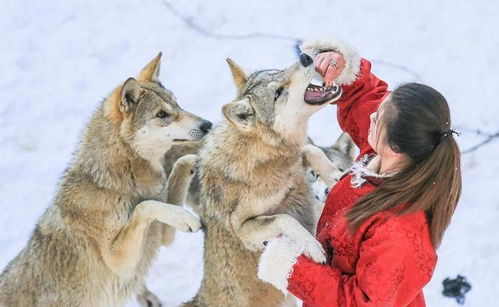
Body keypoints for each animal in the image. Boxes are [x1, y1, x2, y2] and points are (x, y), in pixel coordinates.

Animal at [0, 53, 211, 307]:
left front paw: (198, 158)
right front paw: (183, 216)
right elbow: (145, 206)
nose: (208, 125)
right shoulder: (119, 262)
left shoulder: (163, 238)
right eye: (162, 114)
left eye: (178, 105)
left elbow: (176, 171)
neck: (118, 181)